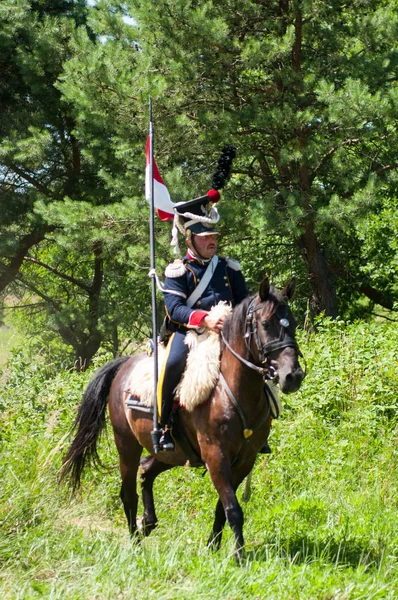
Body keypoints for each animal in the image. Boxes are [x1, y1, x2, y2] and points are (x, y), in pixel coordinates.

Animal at [59, 276, 304, 564]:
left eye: (293, 322)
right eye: (265, 324)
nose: (293, 376)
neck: (231, 389)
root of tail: (124, 366)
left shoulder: (244, 459)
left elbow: (222, 507)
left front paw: (213, 547)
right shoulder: (215, 455)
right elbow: (233, 508)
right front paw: (239, 557)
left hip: (174, 453)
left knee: (147, 470)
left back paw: (148, 522)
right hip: (127, 445)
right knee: (128, 493)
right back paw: (135, 543)